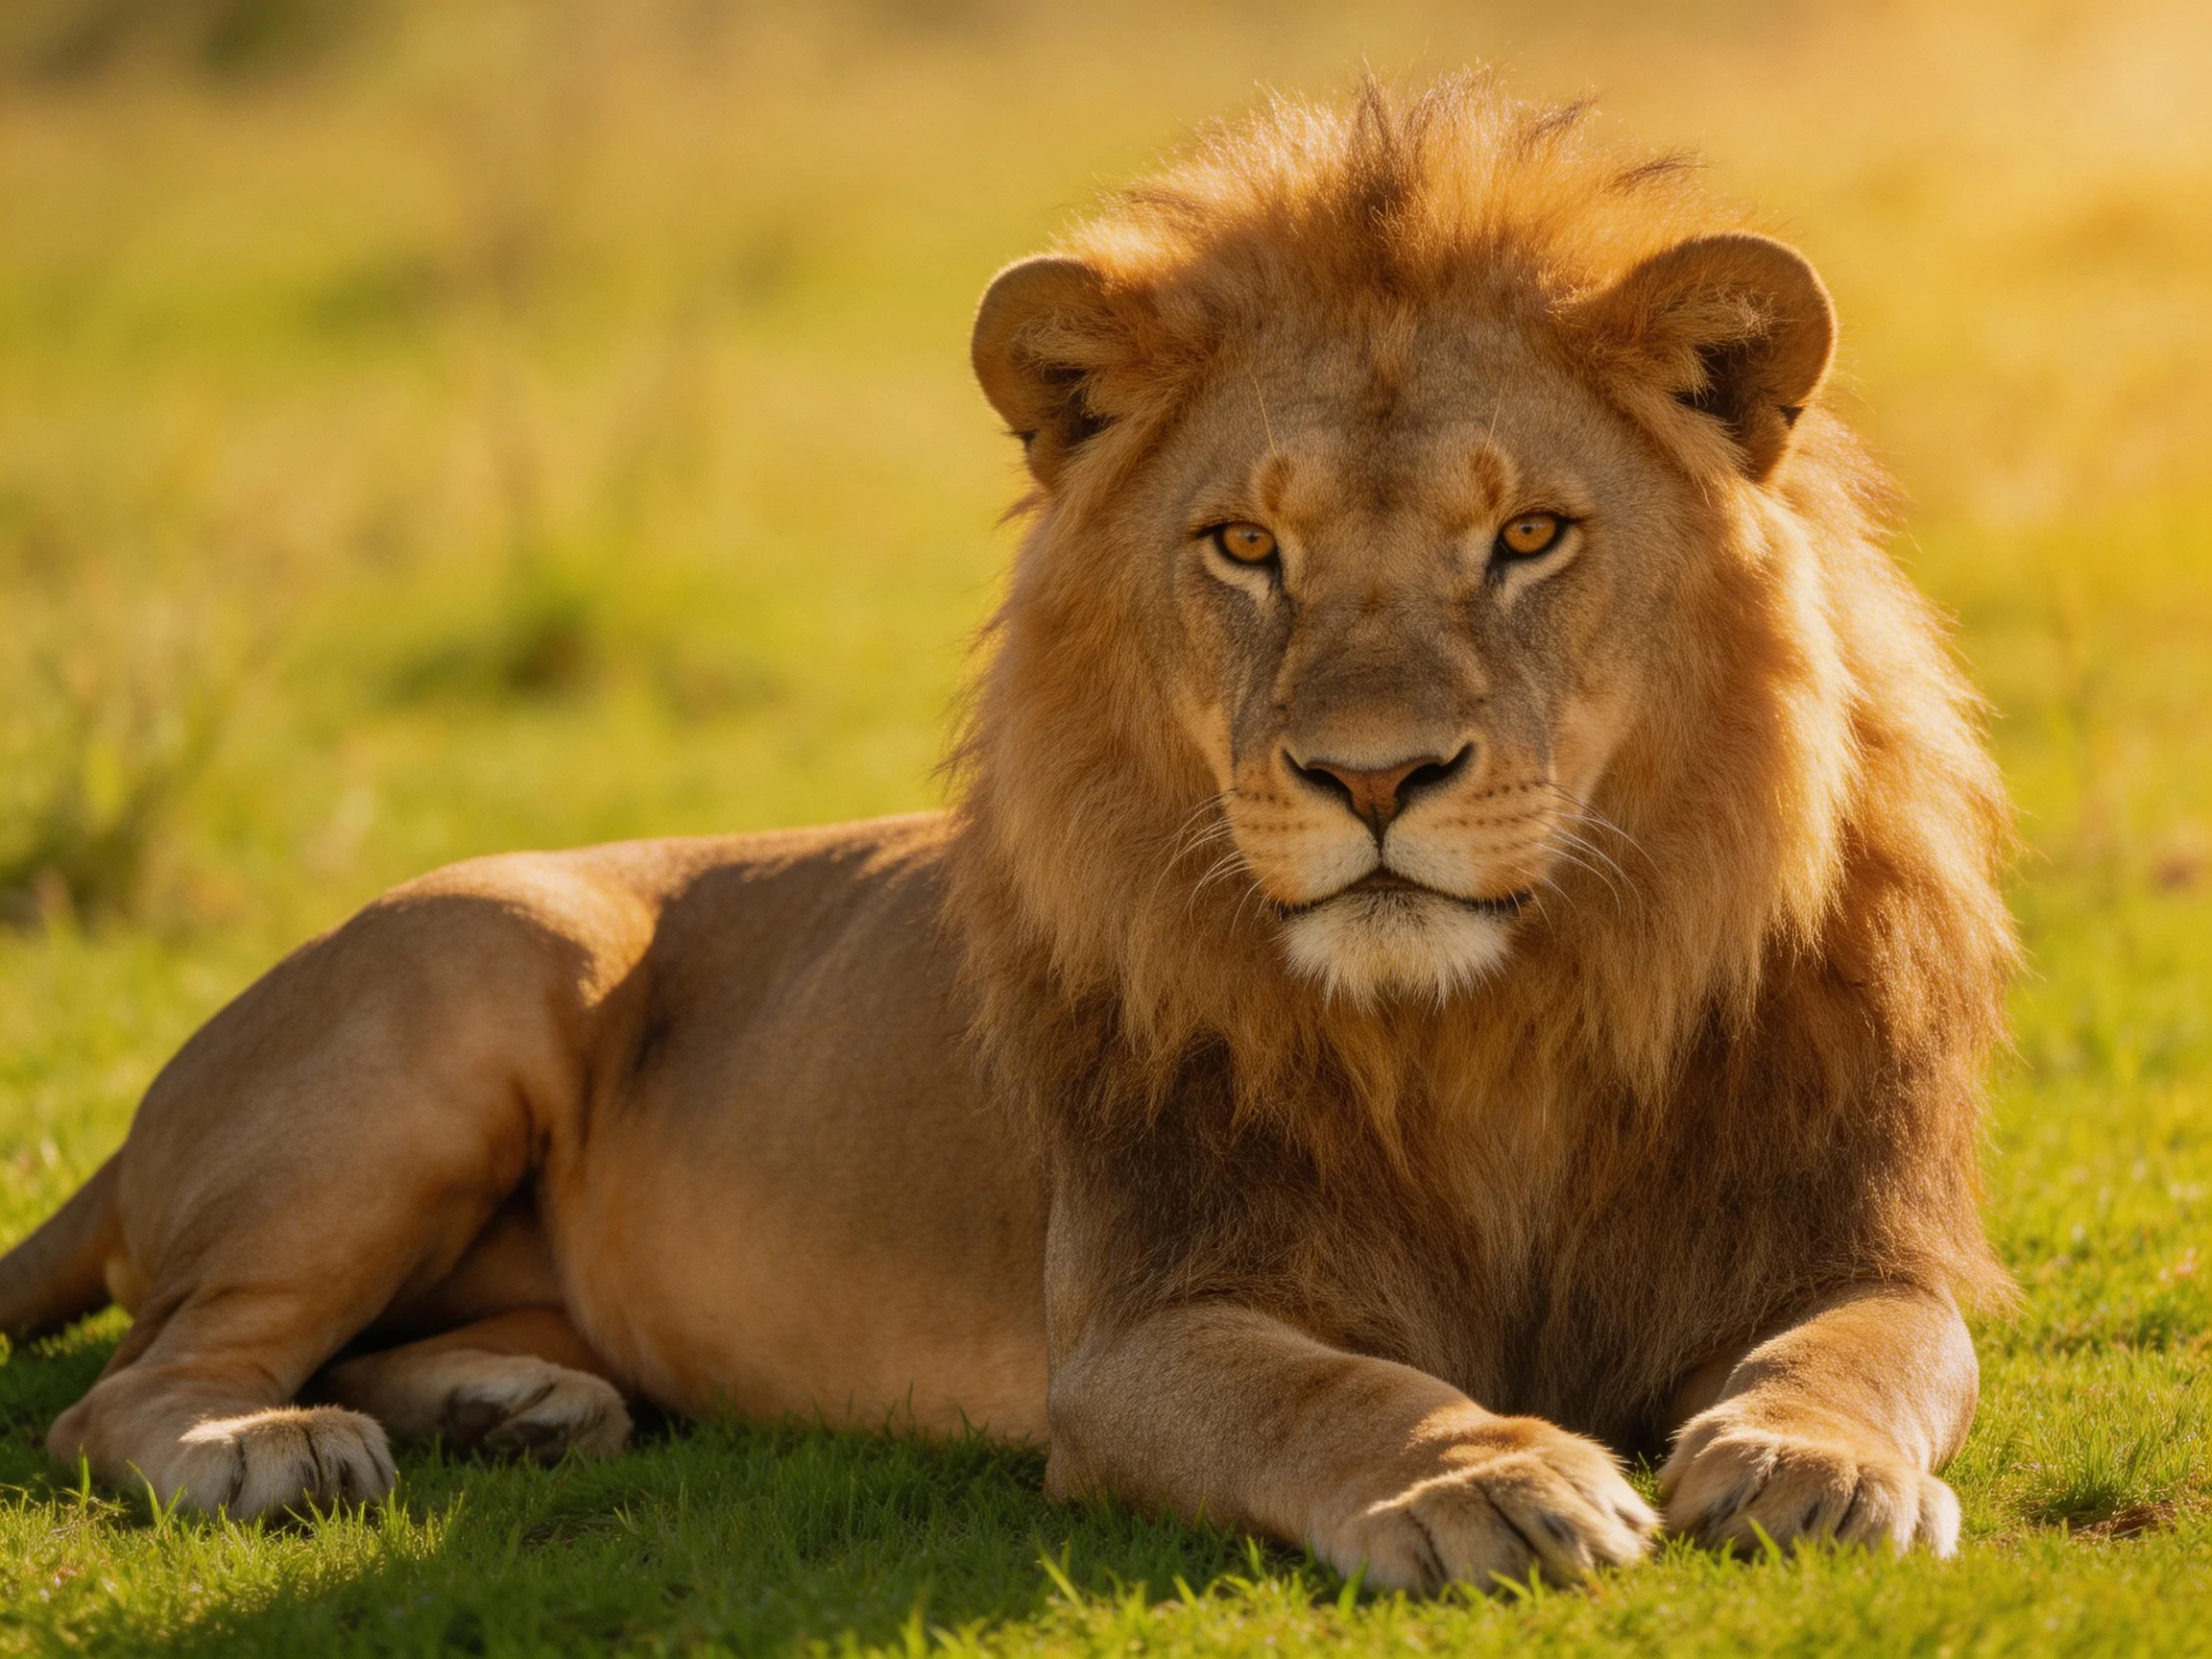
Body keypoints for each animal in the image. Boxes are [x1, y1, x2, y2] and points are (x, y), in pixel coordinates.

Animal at [0, 78, 2014, 1590]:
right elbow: (1327, 1396)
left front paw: (1807, 1462)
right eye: (1244, 546)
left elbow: (1875, 1343)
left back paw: (514, 1403)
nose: (1370, 779)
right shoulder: (1134, 1328)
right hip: (479, 976)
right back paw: (274, 1446)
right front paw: (1480, 1476)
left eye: (1526, 536)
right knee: (131, 1386)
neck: (1493, 1024)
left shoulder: (1861, 1231)